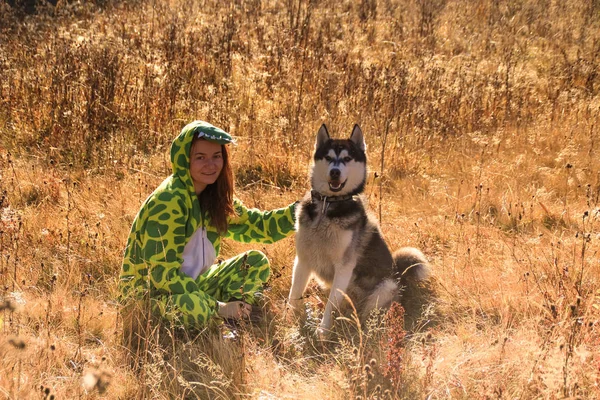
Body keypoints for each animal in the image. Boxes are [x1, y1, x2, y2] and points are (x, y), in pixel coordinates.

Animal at [288, 124, 428, 334]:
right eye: (328, 157)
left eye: (347, 158)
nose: (335, 172)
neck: (327, 207)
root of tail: (399, 275)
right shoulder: (303, 260)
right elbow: (294, 294)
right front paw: (288, 322)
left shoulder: (344, 267)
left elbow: (330, 305)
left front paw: (323, 331)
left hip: (385, 287)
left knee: (367, 314)